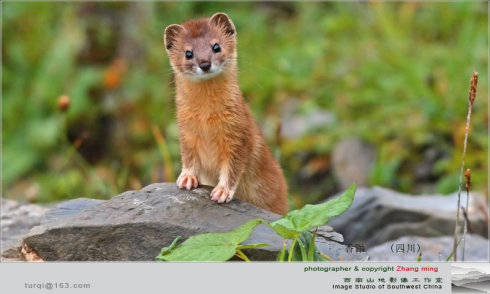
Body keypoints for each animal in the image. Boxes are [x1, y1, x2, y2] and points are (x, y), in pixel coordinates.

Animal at [165, 12, 288, 215]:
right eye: (188, 53)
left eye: (216, 46)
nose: (205, 63)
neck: (206, 120)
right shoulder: (185, 130)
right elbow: (188, 156)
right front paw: (187, 178)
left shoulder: (238, 134)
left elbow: (233, 167)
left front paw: (222, 191)